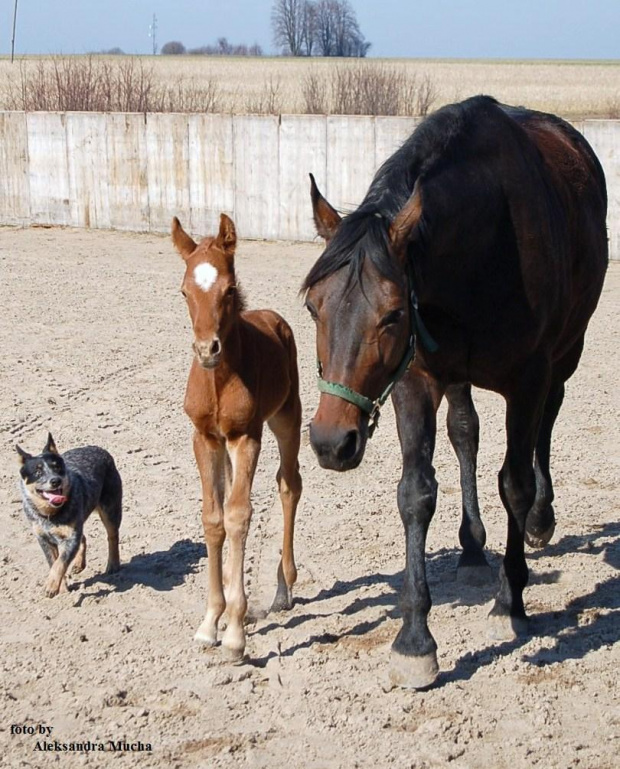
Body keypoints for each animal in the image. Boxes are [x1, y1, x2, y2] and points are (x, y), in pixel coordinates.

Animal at [16, 432, 122, 592]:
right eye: (38, 472)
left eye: (57, 467)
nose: (55, 480)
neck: (50, 515)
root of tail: (98, 448)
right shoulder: (43, 538)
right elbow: (53, 562)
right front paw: (62, 587)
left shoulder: (71, 537)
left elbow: (60, 563)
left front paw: (51, 585)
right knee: (83, 537)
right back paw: (78, 564)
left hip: (110, 509)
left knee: (112, 536)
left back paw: (113, 564)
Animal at [172, 213, 302, 656]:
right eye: (184, 290)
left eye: (229, 289)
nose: (206, 349)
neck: (219, 380)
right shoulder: (205, 438)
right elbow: (214, 517)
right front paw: (212, 620)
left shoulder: (248, 436)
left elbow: (239, 516)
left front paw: (234, 633)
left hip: (287, 418)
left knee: (289, 485)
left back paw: (283, 588)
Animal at [302, 97, 608, 688]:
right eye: (312, 307)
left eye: (392, 314)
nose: (331, 441)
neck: (488, 242)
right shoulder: (415, 379)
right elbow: (416, 493)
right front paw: (415, 640)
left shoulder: (529, 377)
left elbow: (514, 482)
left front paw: (511, 602)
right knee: (465, 433)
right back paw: (471, 549)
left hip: (567, 351)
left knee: (548, 423)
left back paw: (540, 520)